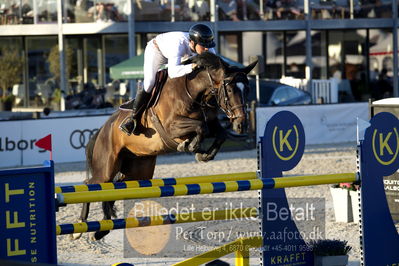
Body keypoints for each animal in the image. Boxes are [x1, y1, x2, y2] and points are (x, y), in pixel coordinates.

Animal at [73, 52, 258, 241]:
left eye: (248, 90)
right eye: (231, 90)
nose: (242, 125)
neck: (193, 92)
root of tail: (103, 129)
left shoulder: (212, 122)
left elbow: (219, 133)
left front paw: (203, 154)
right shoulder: (172, 127)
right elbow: (201, 127)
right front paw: (190, 146)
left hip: (138, 171)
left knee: (114, 188)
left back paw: (101, 230)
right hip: (107, 167)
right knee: (91, 183)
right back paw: (79, 228)